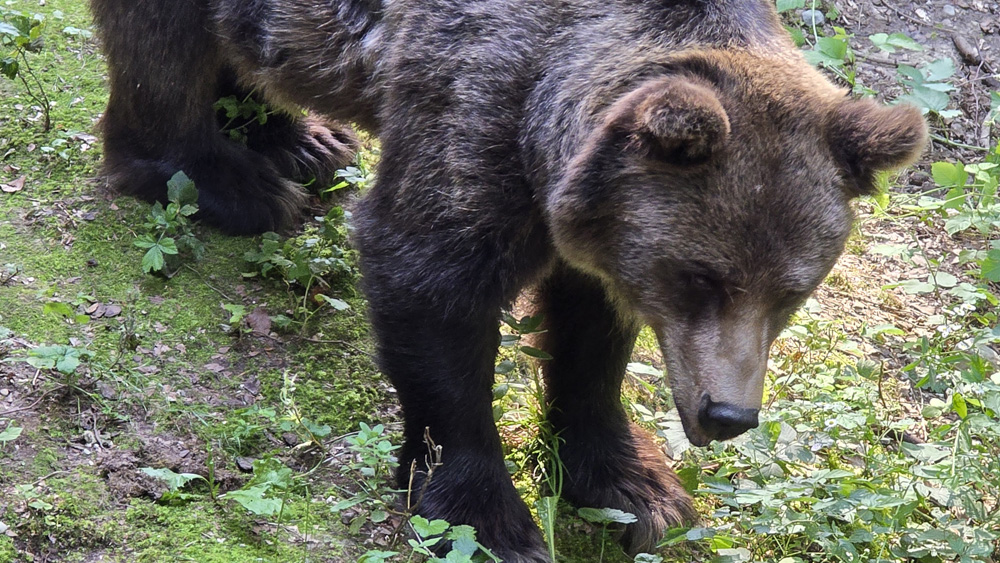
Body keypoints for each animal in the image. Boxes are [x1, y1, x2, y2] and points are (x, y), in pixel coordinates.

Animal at [90, 0, 924, 560]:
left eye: (793, 291)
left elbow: (591, 336)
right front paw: (490, 518)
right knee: (162, 54)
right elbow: (431, 283)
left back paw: (301, 138)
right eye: (700, 275)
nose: (727, 413)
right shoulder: (475, 102)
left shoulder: (595, 218)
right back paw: (232, 179)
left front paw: (637, 489)